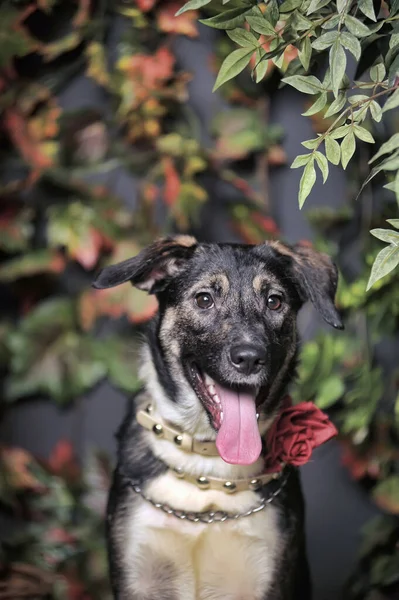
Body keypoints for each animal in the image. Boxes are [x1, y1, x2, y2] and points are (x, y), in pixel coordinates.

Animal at [93, 236, 344, 600]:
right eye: (204, 299)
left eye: (274, 301)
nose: (250, 357)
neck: (207, 463)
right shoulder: (137, 575)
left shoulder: (268, 574)